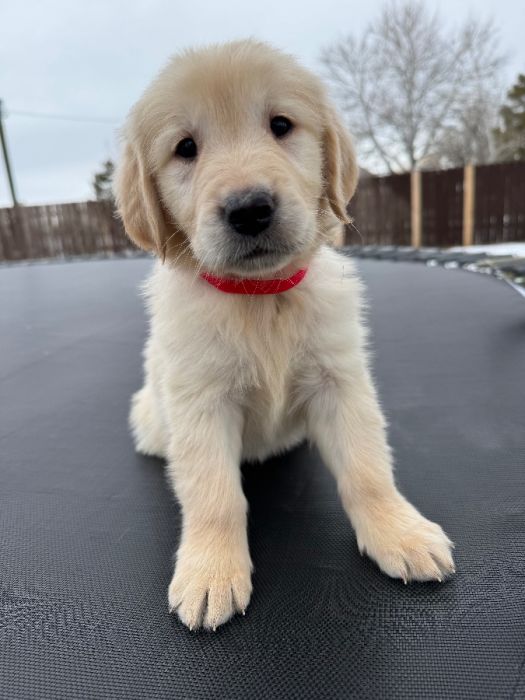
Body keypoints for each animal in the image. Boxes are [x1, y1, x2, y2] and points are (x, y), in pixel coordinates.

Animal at [113, 38, 450, 632]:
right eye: (185, 148)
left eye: (281, 125)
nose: (249, 209)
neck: (260, 297)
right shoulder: (199, 403)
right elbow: (214, 495)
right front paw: (211, 572)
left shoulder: (341, 381)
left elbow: (368, 469)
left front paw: (400, 532)